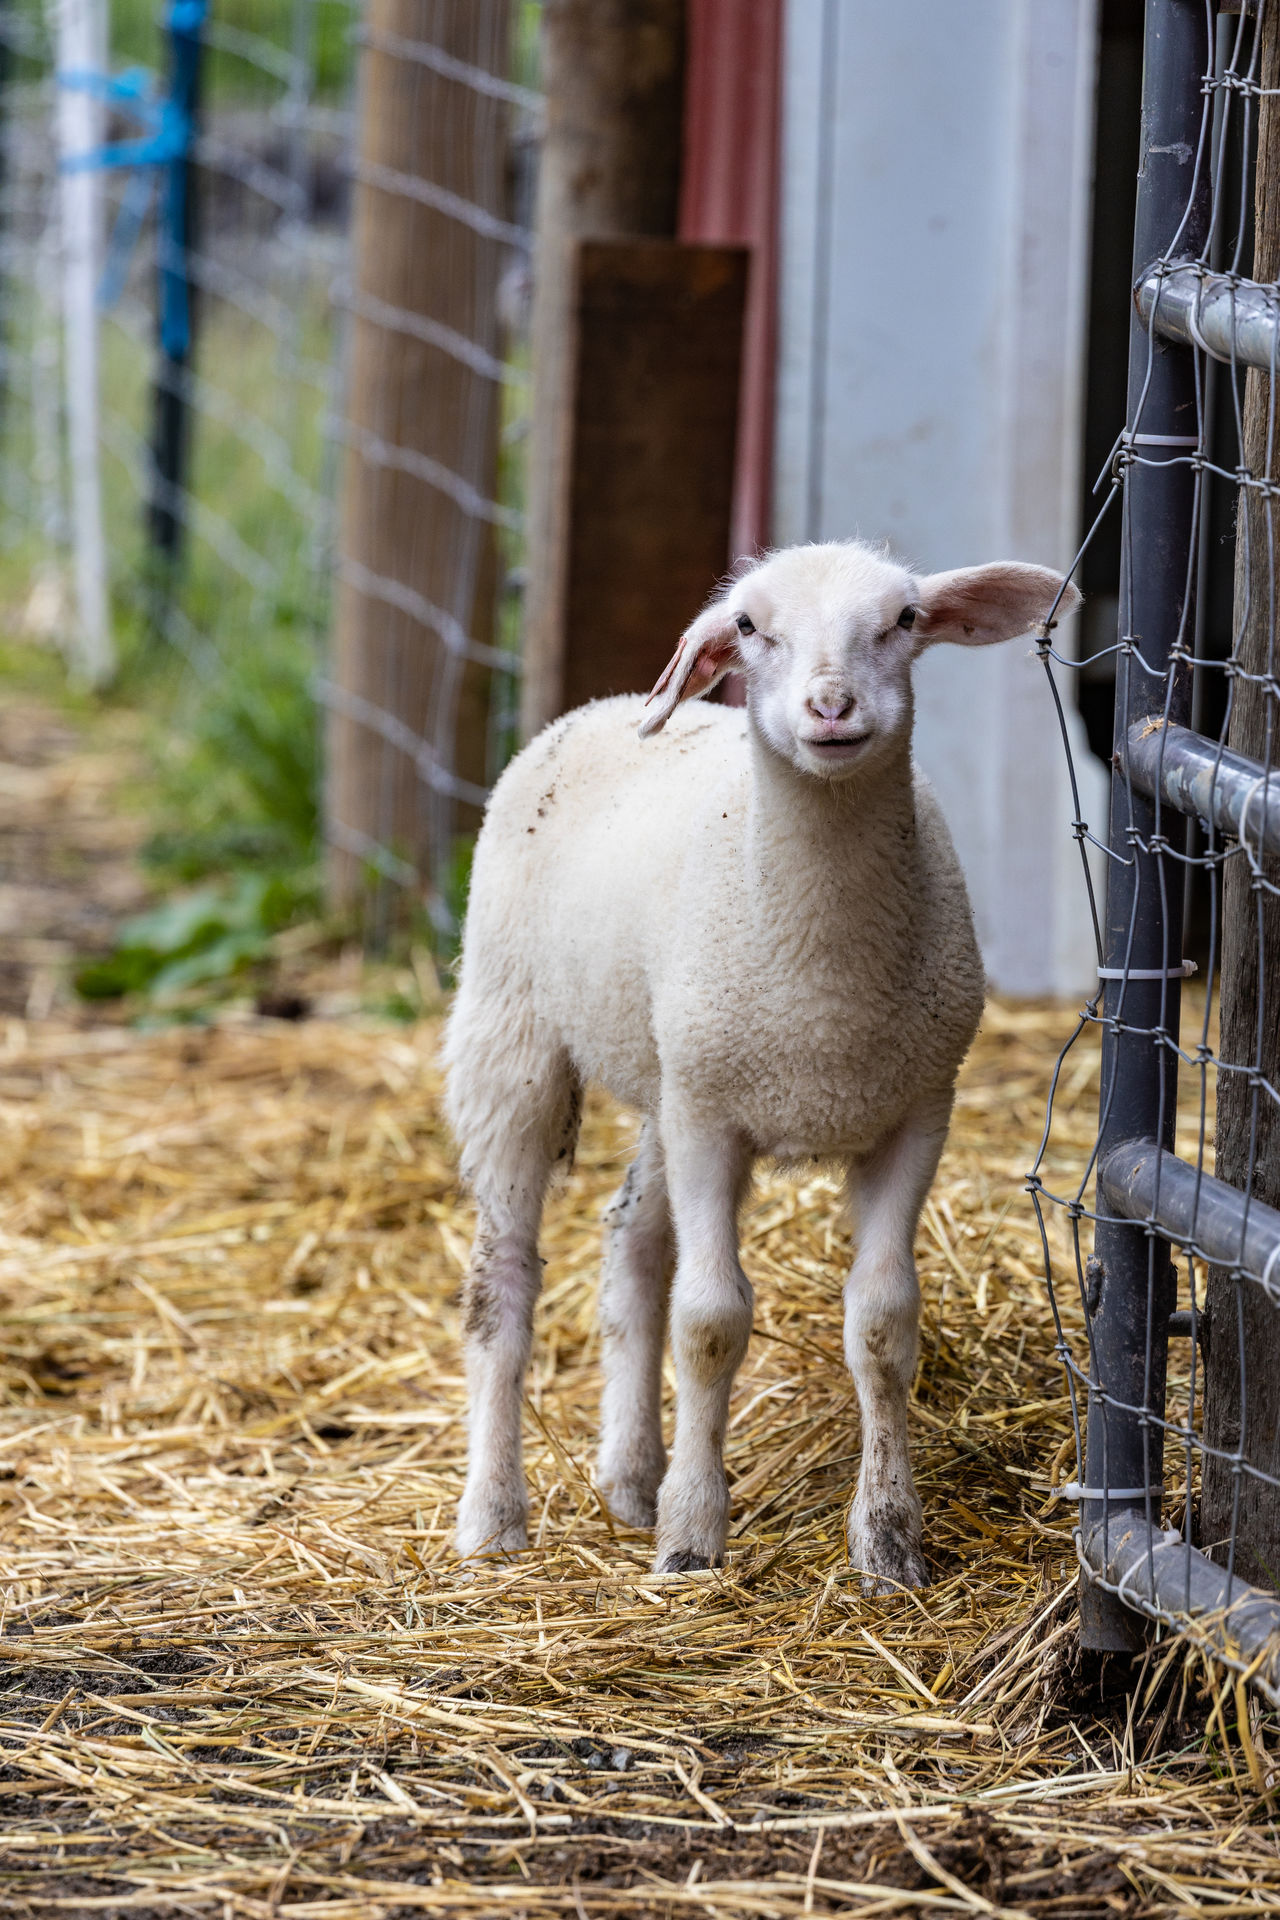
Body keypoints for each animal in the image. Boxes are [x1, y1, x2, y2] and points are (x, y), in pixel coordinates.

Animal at [445, 541, 1074, 1589]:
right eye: (748, 627)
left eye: (904, 620)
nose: (831, 707)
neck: (823, 985)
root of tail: (606, 704)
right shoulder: (714, 1122)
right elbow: (710, 1322)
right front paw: (693, 1536)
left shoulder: (914, 1111)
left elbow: (883, 1324)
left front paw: (889, 1543)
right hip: (513, 1033)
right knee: (505, 1281)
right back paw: (495, 1518)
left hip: (672, 1067)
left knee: (630, 1243)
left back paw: (630, 1478)